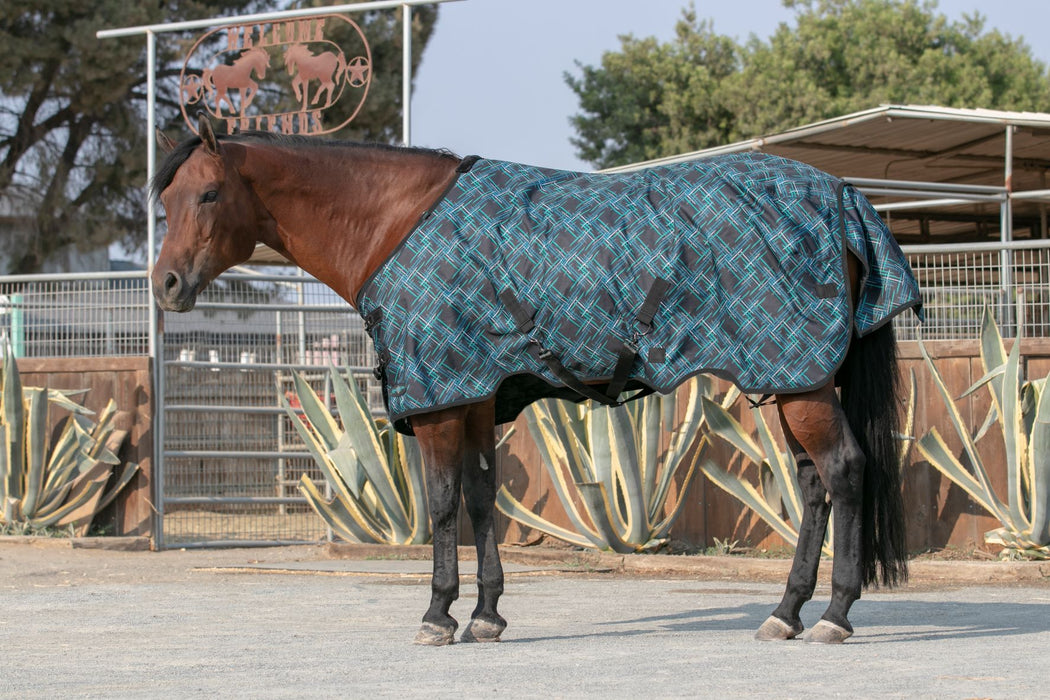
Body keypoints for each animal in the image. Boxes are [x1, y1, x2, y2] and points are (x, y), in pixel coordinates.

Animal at [151, 115, 921, 646]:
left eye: (210, 194)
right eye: (168, 200)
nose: (166, 285)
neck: (397, 224)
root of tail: (842, 195)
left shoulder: (439, 402)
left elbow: (442, 505)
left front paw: (438, 615)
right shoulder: (474, 399)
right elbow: (482, 500)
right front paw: (487, 615)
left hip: (801, 382)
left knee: (844, 471)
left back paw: (835, 615)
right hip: (793, 380)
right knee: (815, 485)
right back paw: (785, 613)